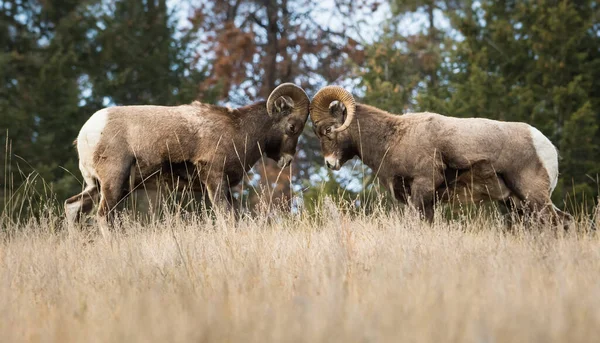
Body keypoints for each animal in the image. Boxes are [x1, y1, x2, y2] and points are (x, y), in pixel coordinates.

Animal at [65, 82, 310, 223]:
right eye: (292, 127)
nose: (287, 160)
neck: (239, 130)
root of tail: (86, 133)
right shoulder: (214, 179)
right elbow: (226, 217)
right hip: (113, 182)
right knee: (103, 216)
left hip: (99, 186)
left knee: (72, 207)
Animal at [310, 85, 572, 228]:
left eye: (327, 130)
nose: (329, 163)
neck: (392, 138)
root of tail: (546, 146)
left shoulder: (422, 189)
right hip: (517, 203)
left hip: (533, 196)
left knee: (559, 222)